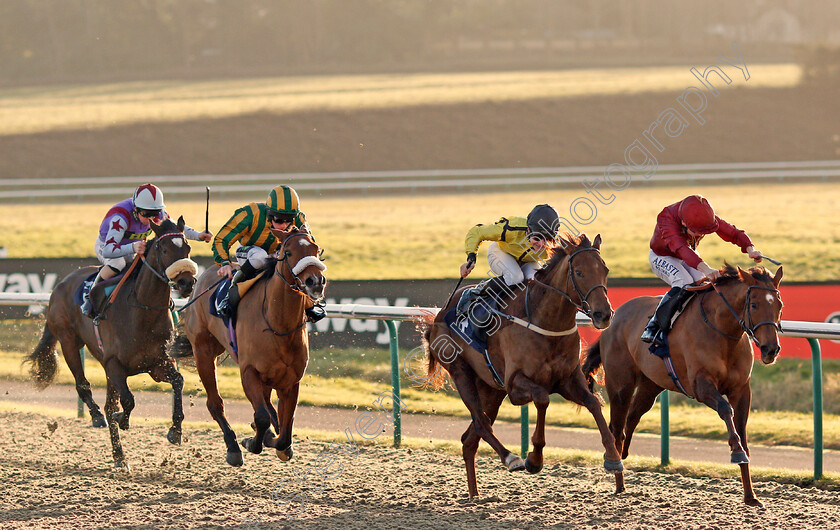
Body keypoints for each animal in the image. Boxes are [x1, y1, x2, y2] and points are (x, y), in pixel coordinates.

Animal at [25, 217, 199, 468]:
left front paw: (175, 432)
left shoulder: (157, 365)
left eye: (187, 247)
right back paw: (98, 418)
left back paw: (119, 456)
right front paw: (121, 419)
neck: (142, 311)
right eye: (165, 249)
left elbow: (178, 381)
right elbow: (127, 401)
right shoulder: (114, 364)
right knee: (83, 386)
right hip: (69, 343)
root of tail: (59, 285)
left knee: (108, 403)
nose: (186, 283)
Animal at [169, 225, 326, 464]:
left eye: (316, 250)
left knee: (267, 405)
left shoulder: (290, 380)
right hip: (204, 351)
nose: (315, 281)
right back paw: (233, 446)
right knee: (215, 403)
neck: (278, 323)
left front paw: (276, 441)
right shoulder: (249, 371)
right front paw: (252, 442)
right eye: (288, 252)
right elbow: (261, 417)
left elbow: (285, 428)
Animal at [420, 233, 624, 498]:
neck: (547, 323)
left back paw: (475, 494)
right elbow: (543, 399)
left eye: (605, 270)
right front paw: (534, 459)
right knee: (481, 423)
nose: (603, 315)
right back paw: (511, 458)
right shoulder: (516, 385)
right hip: (461, 372)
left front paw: (613, 458)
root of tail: (438, 317)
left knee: (469, 439)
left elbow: (593, 404)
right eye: (579, 272)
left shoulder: (569, 380)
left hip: (491, 389)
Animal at [580, 264, 784, 504]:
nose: (771, 349)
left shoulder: (741, 390)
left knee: (631, 419)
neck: (723, 333)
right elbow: (725, 409)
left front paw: (750, 495)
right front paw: (736, 452)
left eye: (779, 305)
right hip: (621, 385)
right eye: (754, 304)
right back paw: (617, 474)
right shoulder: (701, 384)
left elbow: (742, 430)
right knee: (616, 428)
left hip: (650, 386)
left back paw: (622, 461)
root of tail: (614, 318)